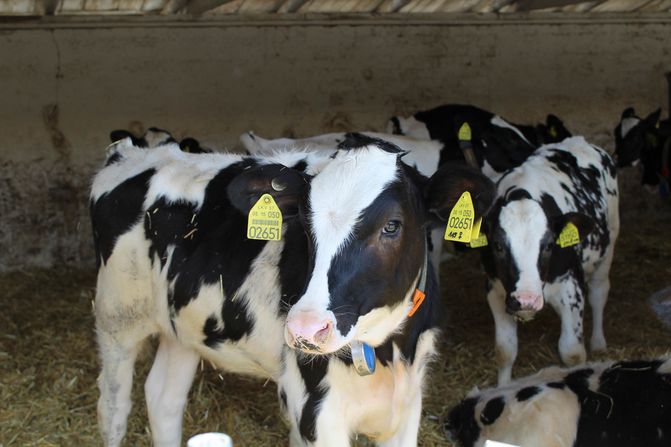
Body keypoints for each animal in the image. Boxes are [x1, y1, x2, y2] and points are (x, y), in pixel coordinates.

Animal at [92, 135, 496, 446]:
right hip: (116, 317)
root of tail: (130, 153)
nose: (305, 329)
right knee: (113, 409)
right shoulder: (316, 409)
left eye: (392, 226)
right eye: (303, 222)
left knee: (164, 398)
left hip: (183, 328)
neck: (388, 352)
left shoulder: (409, 401)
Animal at [484, 137, 620, 384]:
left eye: (549, 245)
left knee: (599, 293)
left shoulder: (571, 289)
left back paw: (598, 342)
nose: (526, 299)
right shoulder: (495, 291)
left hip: (610, 242)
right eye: (498, 245)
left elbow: (572, 352)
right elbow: (505, 351)